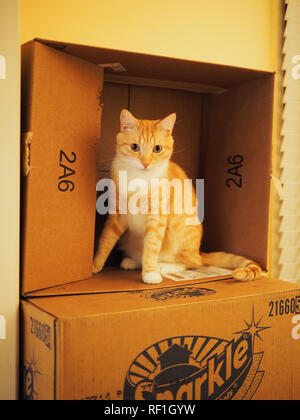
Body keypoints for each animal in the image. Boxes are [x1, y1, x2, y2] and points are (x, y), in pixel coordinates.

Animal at [92, 109, 262, 286]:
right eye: (134, 147)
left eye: (157, 148)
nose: (146, 163)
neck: (138, 178)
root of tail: (199, 251)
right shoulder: (116, 214)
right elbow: (105, 240)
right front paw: (94, 265)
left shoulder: (157, 217)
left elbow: (151, 246)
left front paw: (149, 273)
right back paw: (132, 261)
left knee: (193, 263)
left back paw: (162, 266)